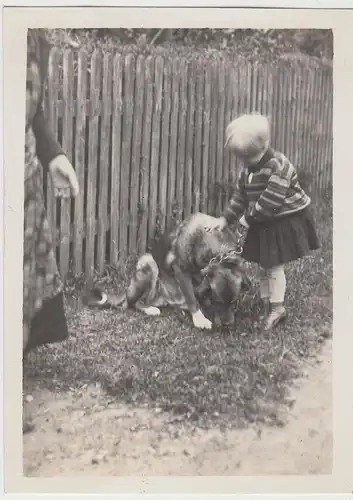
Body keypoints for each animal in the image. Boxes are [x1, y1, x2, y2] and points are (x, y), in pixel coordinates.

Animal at [82, 213, 249, 330]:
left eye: (233, 302)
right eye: (217, 302)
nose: (228, 324)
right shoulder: (181, 271)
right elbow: (192, 298)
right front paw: (199, 319)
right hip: (148, 263)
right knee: (131, 304)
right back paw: (150, 309)